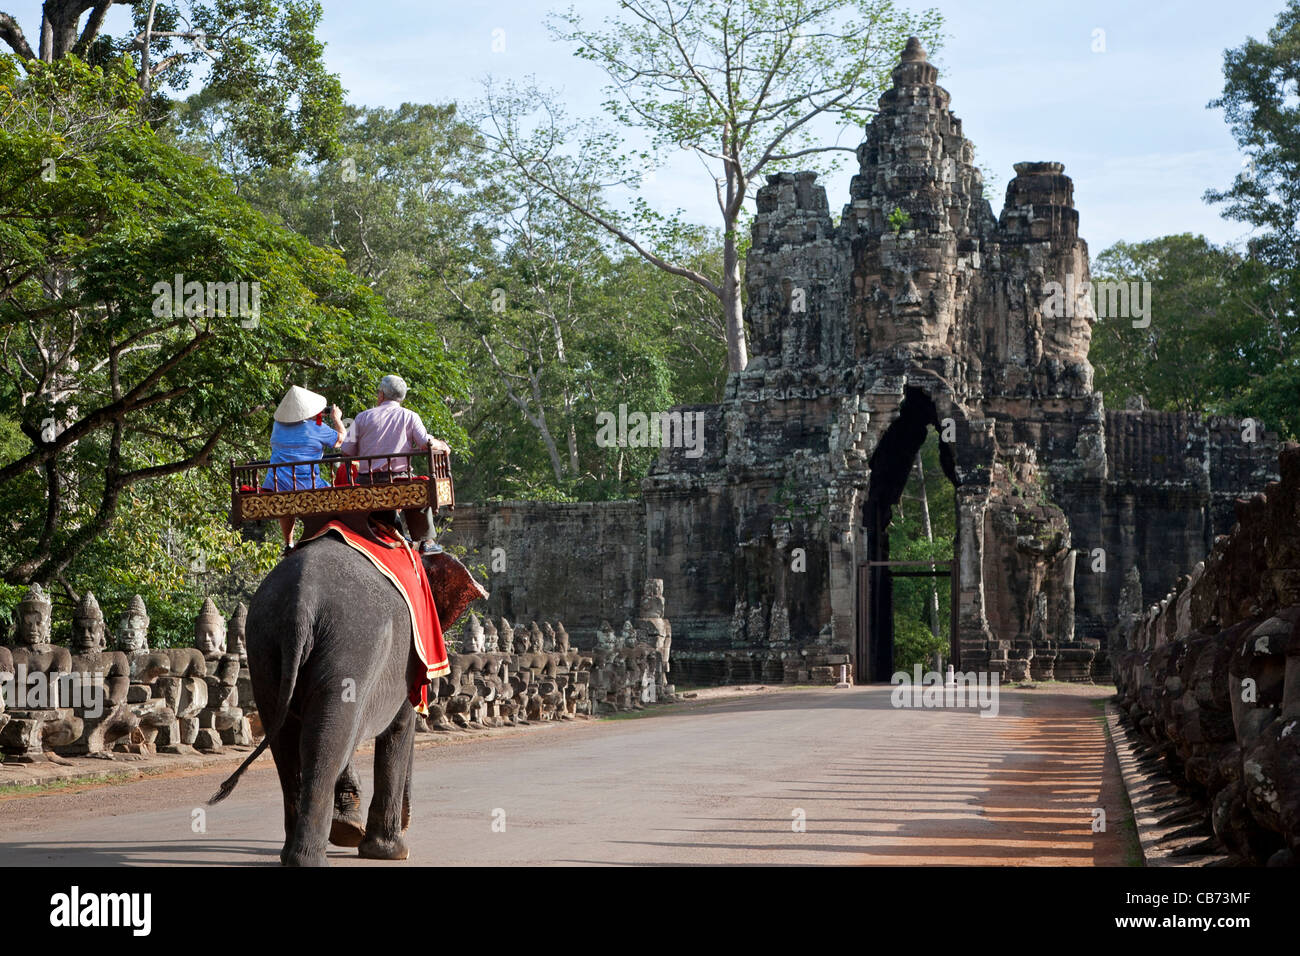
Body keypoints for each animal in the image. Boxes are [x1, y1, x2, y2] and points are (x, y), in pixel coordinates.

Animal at [210, 530, 486, 868]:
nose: (407, 822)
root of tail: (302, 602)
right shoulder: (408, 662)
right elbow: (398, 729)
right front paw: (391, 852)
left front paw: (349, 830)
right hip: (351, 646)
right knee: (326, 742)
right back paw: (311, 860)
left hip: (264, 644)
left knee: (293, 742)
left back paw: (294, 854)